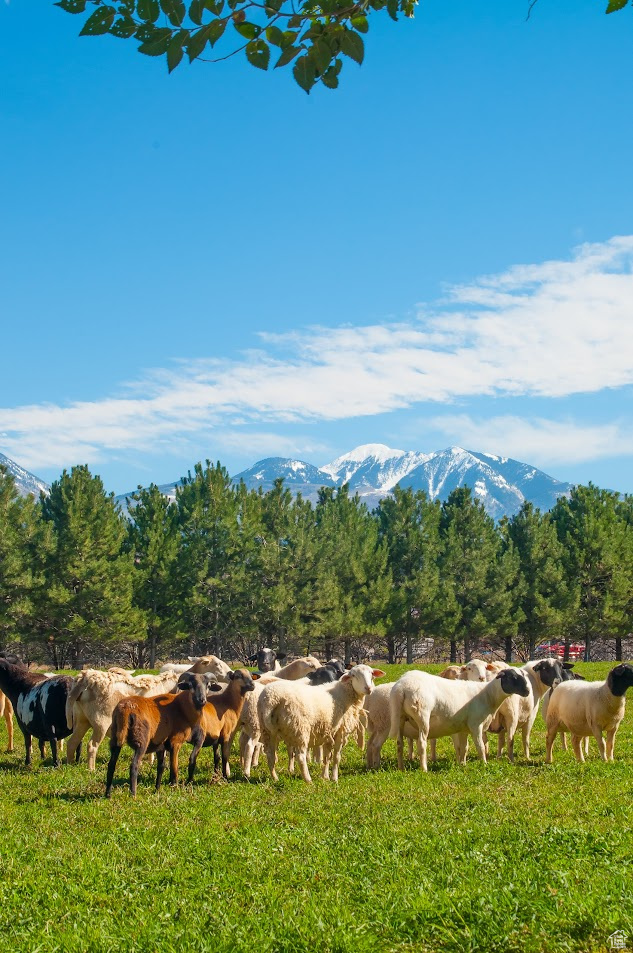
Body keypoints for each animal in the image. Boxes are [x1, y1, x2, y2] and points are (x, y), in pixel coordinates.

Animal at [105, 668, 207, 796]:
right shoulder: (175, 742)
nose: (202, 700)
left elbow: (161, 766)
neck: (182, 707)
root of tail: (126, 710)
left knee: (111, 765)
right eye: (190, 685)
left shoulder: (160, 745)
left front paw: (157, 789)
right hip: (141, 741)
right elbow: (174, 765)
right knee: (134, 766)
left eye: (207, 685)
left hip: (116, 737)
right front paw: (174, 786)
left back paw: (108, 794)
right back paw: (133, 794)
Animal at [256, 660, 386, 780]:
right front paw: (334, 778)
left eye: (371, 674)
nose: (368, 688)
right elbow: (336, 757)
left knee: (270, 755)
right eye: (354, 675)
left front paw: (325, 777)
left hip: (268, 731)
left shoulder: (329, 731)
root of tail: (271, 698)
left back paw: (275, 778)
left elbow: (326, 756)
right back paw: (308, 780)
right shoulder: (340, 731)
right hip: (299, 728)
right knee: (300, 756)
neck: (343, 694)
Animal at [390, 664, 528, 768]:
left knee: (399, 744)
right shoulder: (475, 724)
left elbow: (464, 747)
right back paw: (424, 769)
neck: (488, 695)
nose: (527, 691)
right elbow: (480, 746)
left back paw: (401, 768)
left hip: (399, 717)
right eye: (513, 677)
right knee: (421, 743)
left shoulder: (463, 728)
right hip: (422, 716)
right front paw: (484, 764)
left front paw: (462, 764)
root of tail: (402, 688)